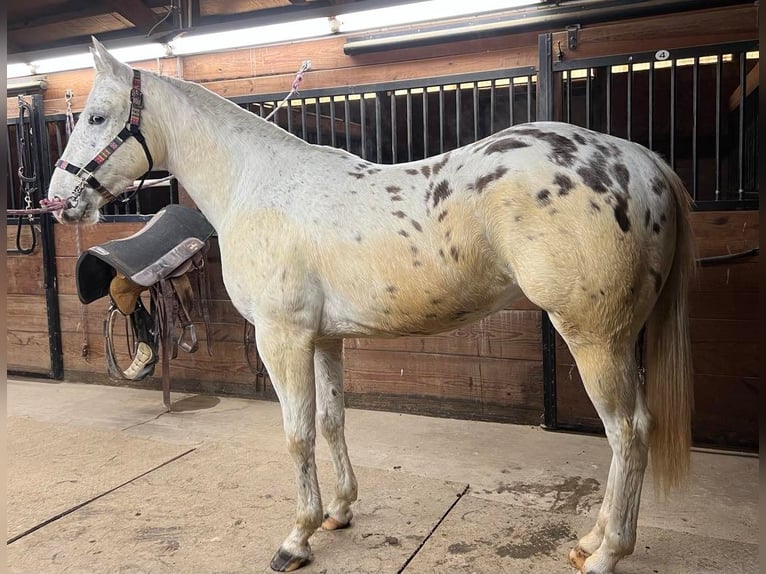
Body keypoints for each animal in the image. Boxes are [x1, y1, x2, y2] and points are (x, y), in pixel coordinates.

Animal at [46, 38, 696, 572]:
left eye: (97, 116)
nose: (57, 201)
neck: (257, 186)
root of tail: (642, 161)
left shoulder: (282, 338)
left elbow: (297, 433)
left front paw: (297, 538)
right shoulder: (324, 338)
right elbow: (332, 421)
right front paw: (338, 512)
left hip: (595, 338)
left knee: (628, 433)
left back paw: (608, 553)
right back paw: (590, 541)